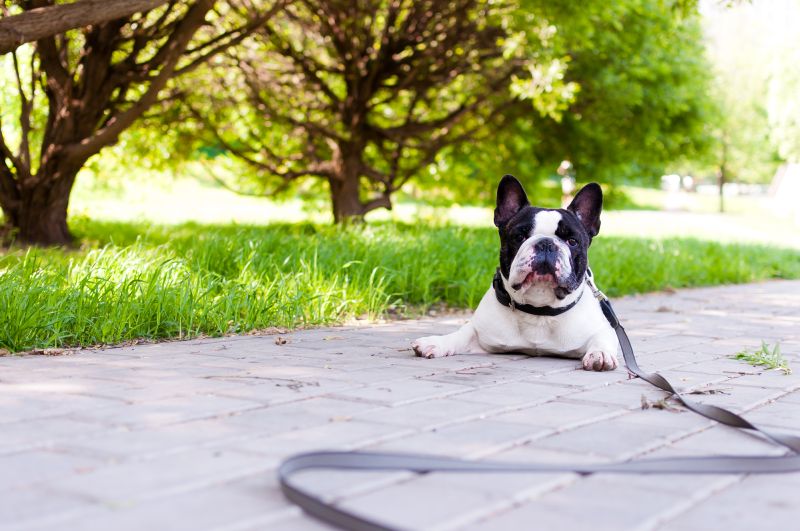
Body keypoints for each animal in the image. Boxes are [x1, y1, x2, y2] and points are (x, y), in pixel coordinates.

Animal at [412, 175, 620, 370]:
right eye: (519, 237)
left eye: (572, 241)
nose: (546, 243)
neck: (539, 310)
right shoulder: (480, 334)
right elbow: (462, 334)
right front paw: (436, 342)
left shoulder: (604, 329)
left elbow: (602, 338)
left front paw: (600, 354)